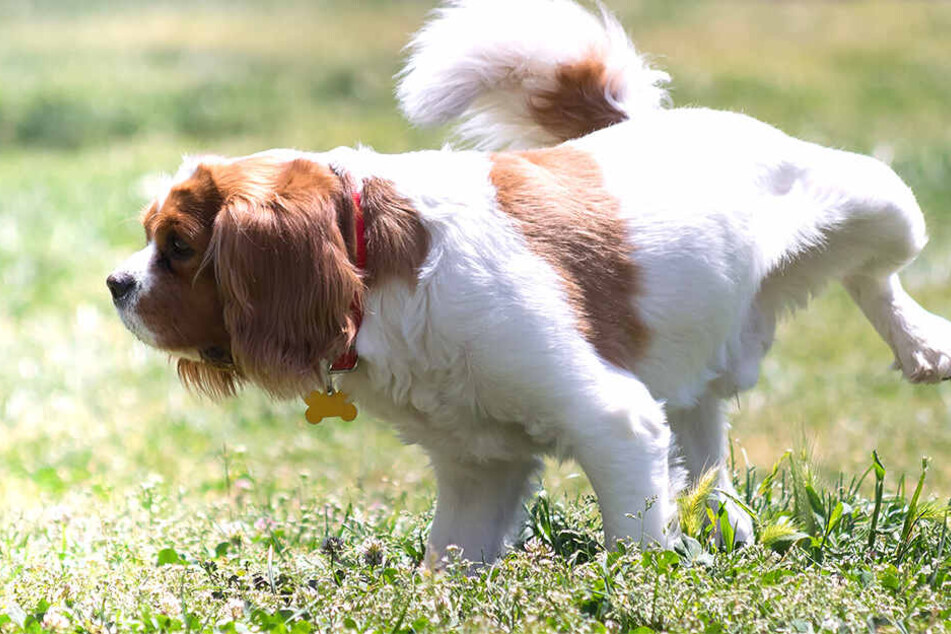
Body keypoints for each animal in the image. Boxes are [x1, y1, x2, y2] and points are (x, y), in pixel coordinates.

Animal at [108, 0, 948, 564]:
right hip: (691, 359)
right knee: (703, 436)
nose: (115, 282)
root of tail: (633, 124)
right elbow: (448, 562)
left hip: (878, 199)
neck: (380, 276)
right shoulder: (479, 472)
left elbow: (633, 550)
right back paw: (723, 521)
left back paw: (922, 346)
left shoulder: (614, 423)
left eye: (177, 246)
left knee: (876, 273)